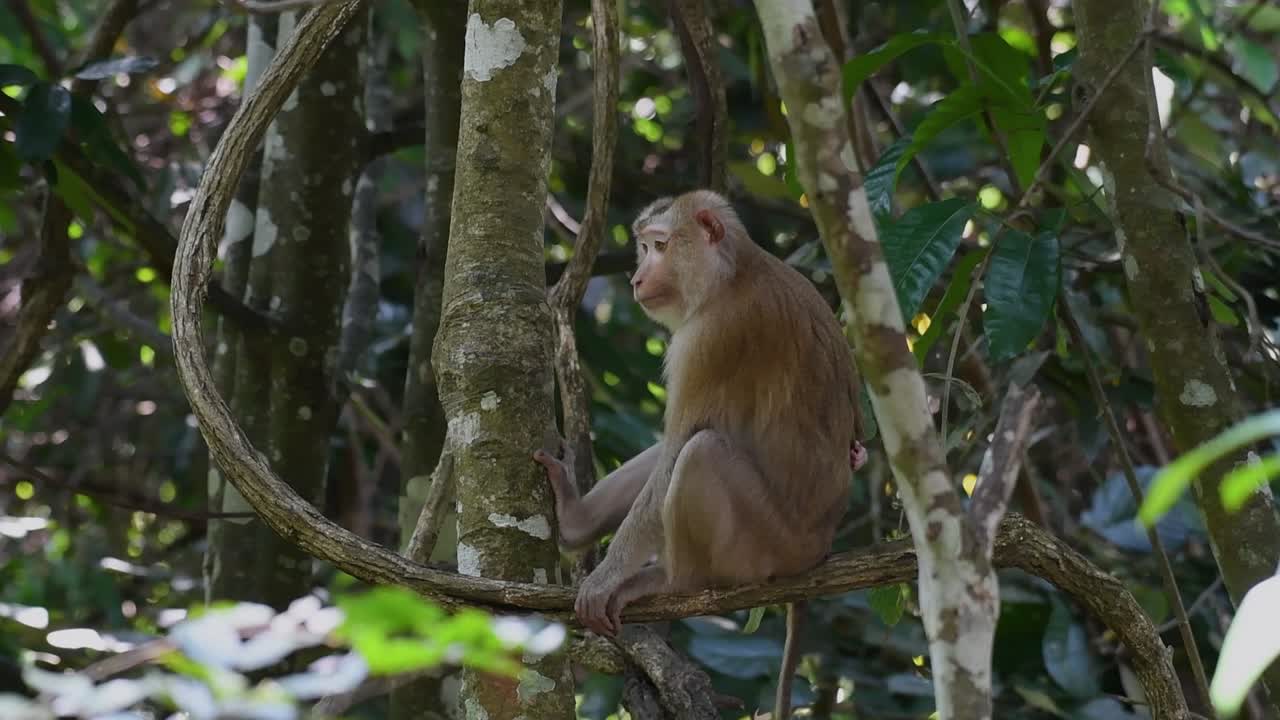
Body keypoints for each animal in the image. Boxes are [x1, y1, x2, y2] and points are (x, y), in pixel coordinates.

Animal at [534, 190, 867, 719]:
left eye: (659, 246)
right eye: (643, 248)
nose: (636, 278)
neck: (733, 272)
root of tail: (819, 548)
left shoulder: (711, 338)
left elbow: (679, 447)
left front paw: (605, 578)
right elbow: (667, 453)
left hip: (765, 545)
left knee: (699, 451)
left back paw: (675, 581)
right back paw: (574, 520)